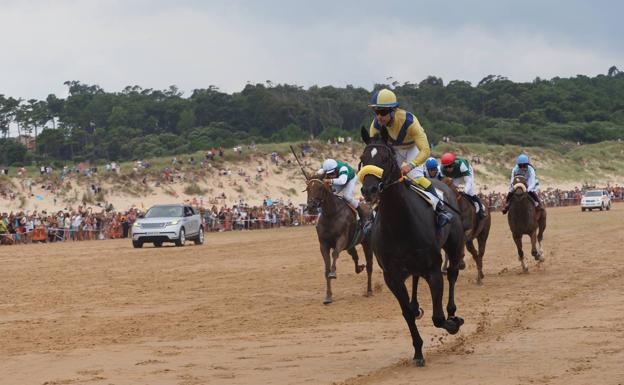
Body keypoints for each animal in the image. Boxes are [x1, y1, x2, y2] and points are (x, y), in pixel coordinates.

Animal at [358, 127, 466, 366]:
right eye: (362, 158)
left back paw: (453, 312)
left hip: (454, 246)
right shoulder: (392, 276)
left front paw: (452, 323)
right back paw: (417, 306)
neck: (399, 222)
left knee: (453, 274)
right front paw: (418, 351)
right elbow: (406, 312)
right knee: (416, 281)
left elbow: (438, 318)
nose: (369, 190)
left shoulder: (433, 269)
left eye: (385, 158)